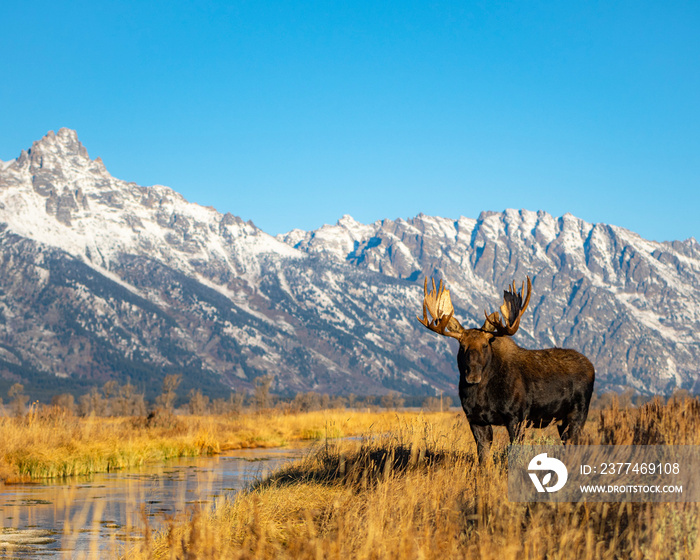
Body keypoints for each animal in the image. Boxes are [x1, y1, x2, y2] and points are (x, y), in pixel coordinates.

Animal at [418, 276, 592, 464]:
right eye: (462, 346)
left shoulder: (517, 417)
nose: (473, 376)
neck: (482, 395)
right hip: (562, 421)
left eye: (485, 345)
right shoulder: (475, 419)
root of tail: (591, 365)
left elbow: (515, 455)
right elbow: (483, 458)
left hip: (579, 413)